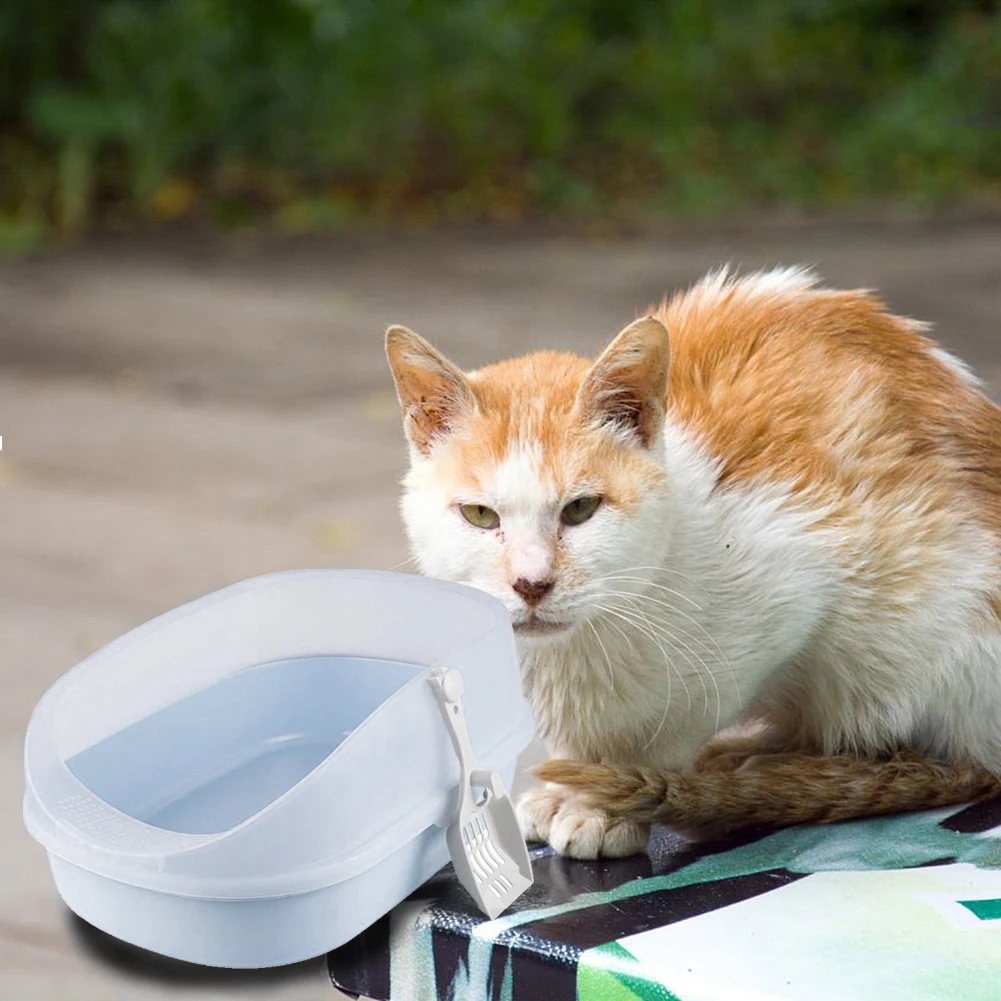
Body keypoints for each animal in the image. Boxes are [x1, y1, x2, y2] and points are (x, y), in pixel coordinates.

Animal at [380, 268, 1001, 860]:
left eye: (580, 509)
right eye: (480, 515)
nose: (531, 583)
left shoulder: (795, 585)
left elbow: (675, 728)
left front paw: (605, 803)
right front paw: (569, 788)